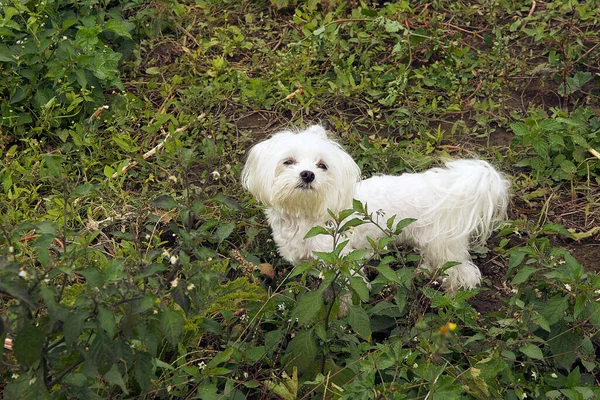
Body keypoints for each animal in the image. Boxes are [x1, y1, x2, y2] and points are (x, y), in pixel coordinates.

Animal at [241, 125, 508, 290]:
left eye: (322, 165)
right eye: (288, 161)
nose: (308, 174)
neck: (306, 216)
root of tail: (443, 187)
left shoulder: (340, 260)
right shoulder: (305, 262)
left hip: (443, 246)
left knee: (462, 271)